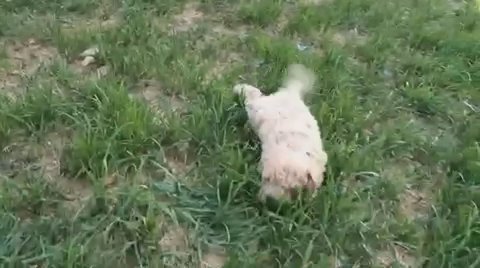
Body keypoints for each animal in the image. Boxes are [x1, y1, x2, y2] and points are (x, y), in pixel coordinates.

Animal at [234, 63, 328, 202]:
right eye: (267, 179)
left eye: (291, 189)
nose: (270, 202)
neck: (294, 149)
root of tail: (289, 93)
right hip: (257, 111)